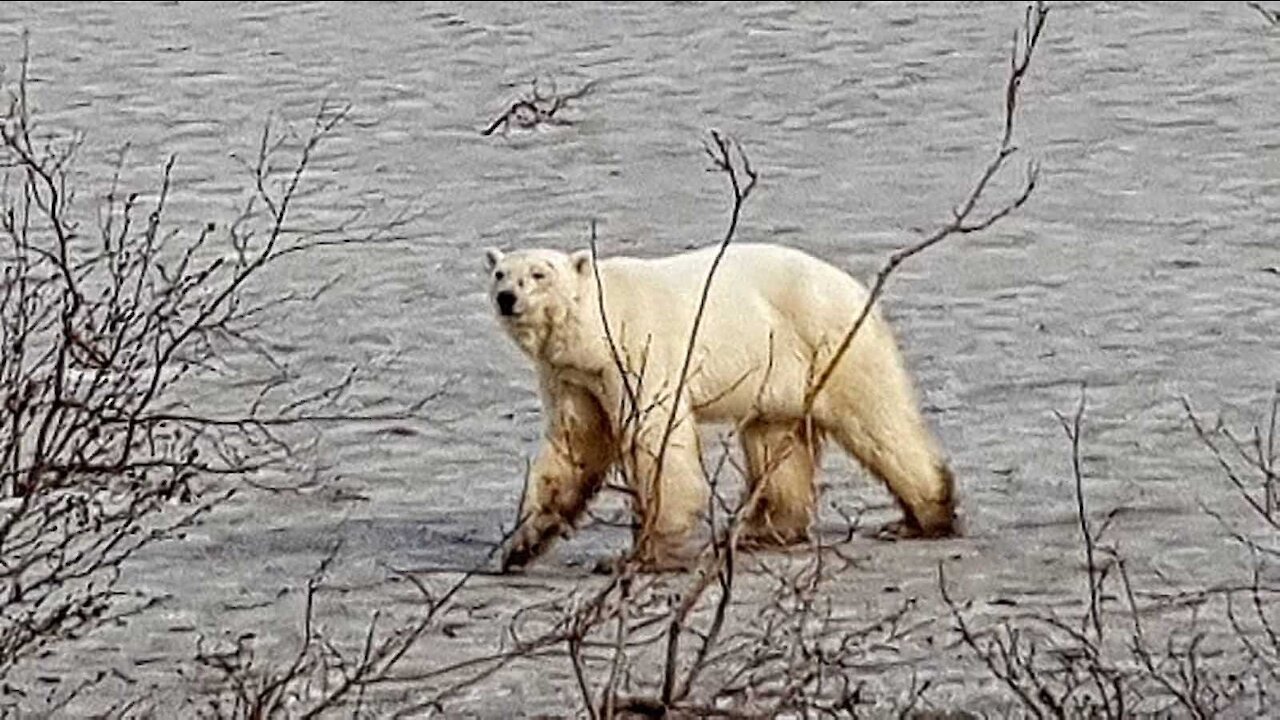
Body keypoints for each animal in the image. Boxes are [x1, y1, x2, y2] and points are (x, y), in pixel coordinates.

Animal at [483, 243, 957, 568]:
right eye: (501, 273)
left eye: (539, 274)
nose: (507, 297)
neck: (599, 327)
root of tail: (856, 286)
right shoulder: (572, 376)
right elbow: (575, 443)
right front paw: (520, 545)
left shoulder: (639, 352)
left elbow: (657, 442)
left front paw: (641, 555)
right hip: (777, 369)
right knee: (775, 442)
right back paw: (765, 531)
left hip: (829, 340)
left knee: (876, 420)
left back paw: (922, 519)